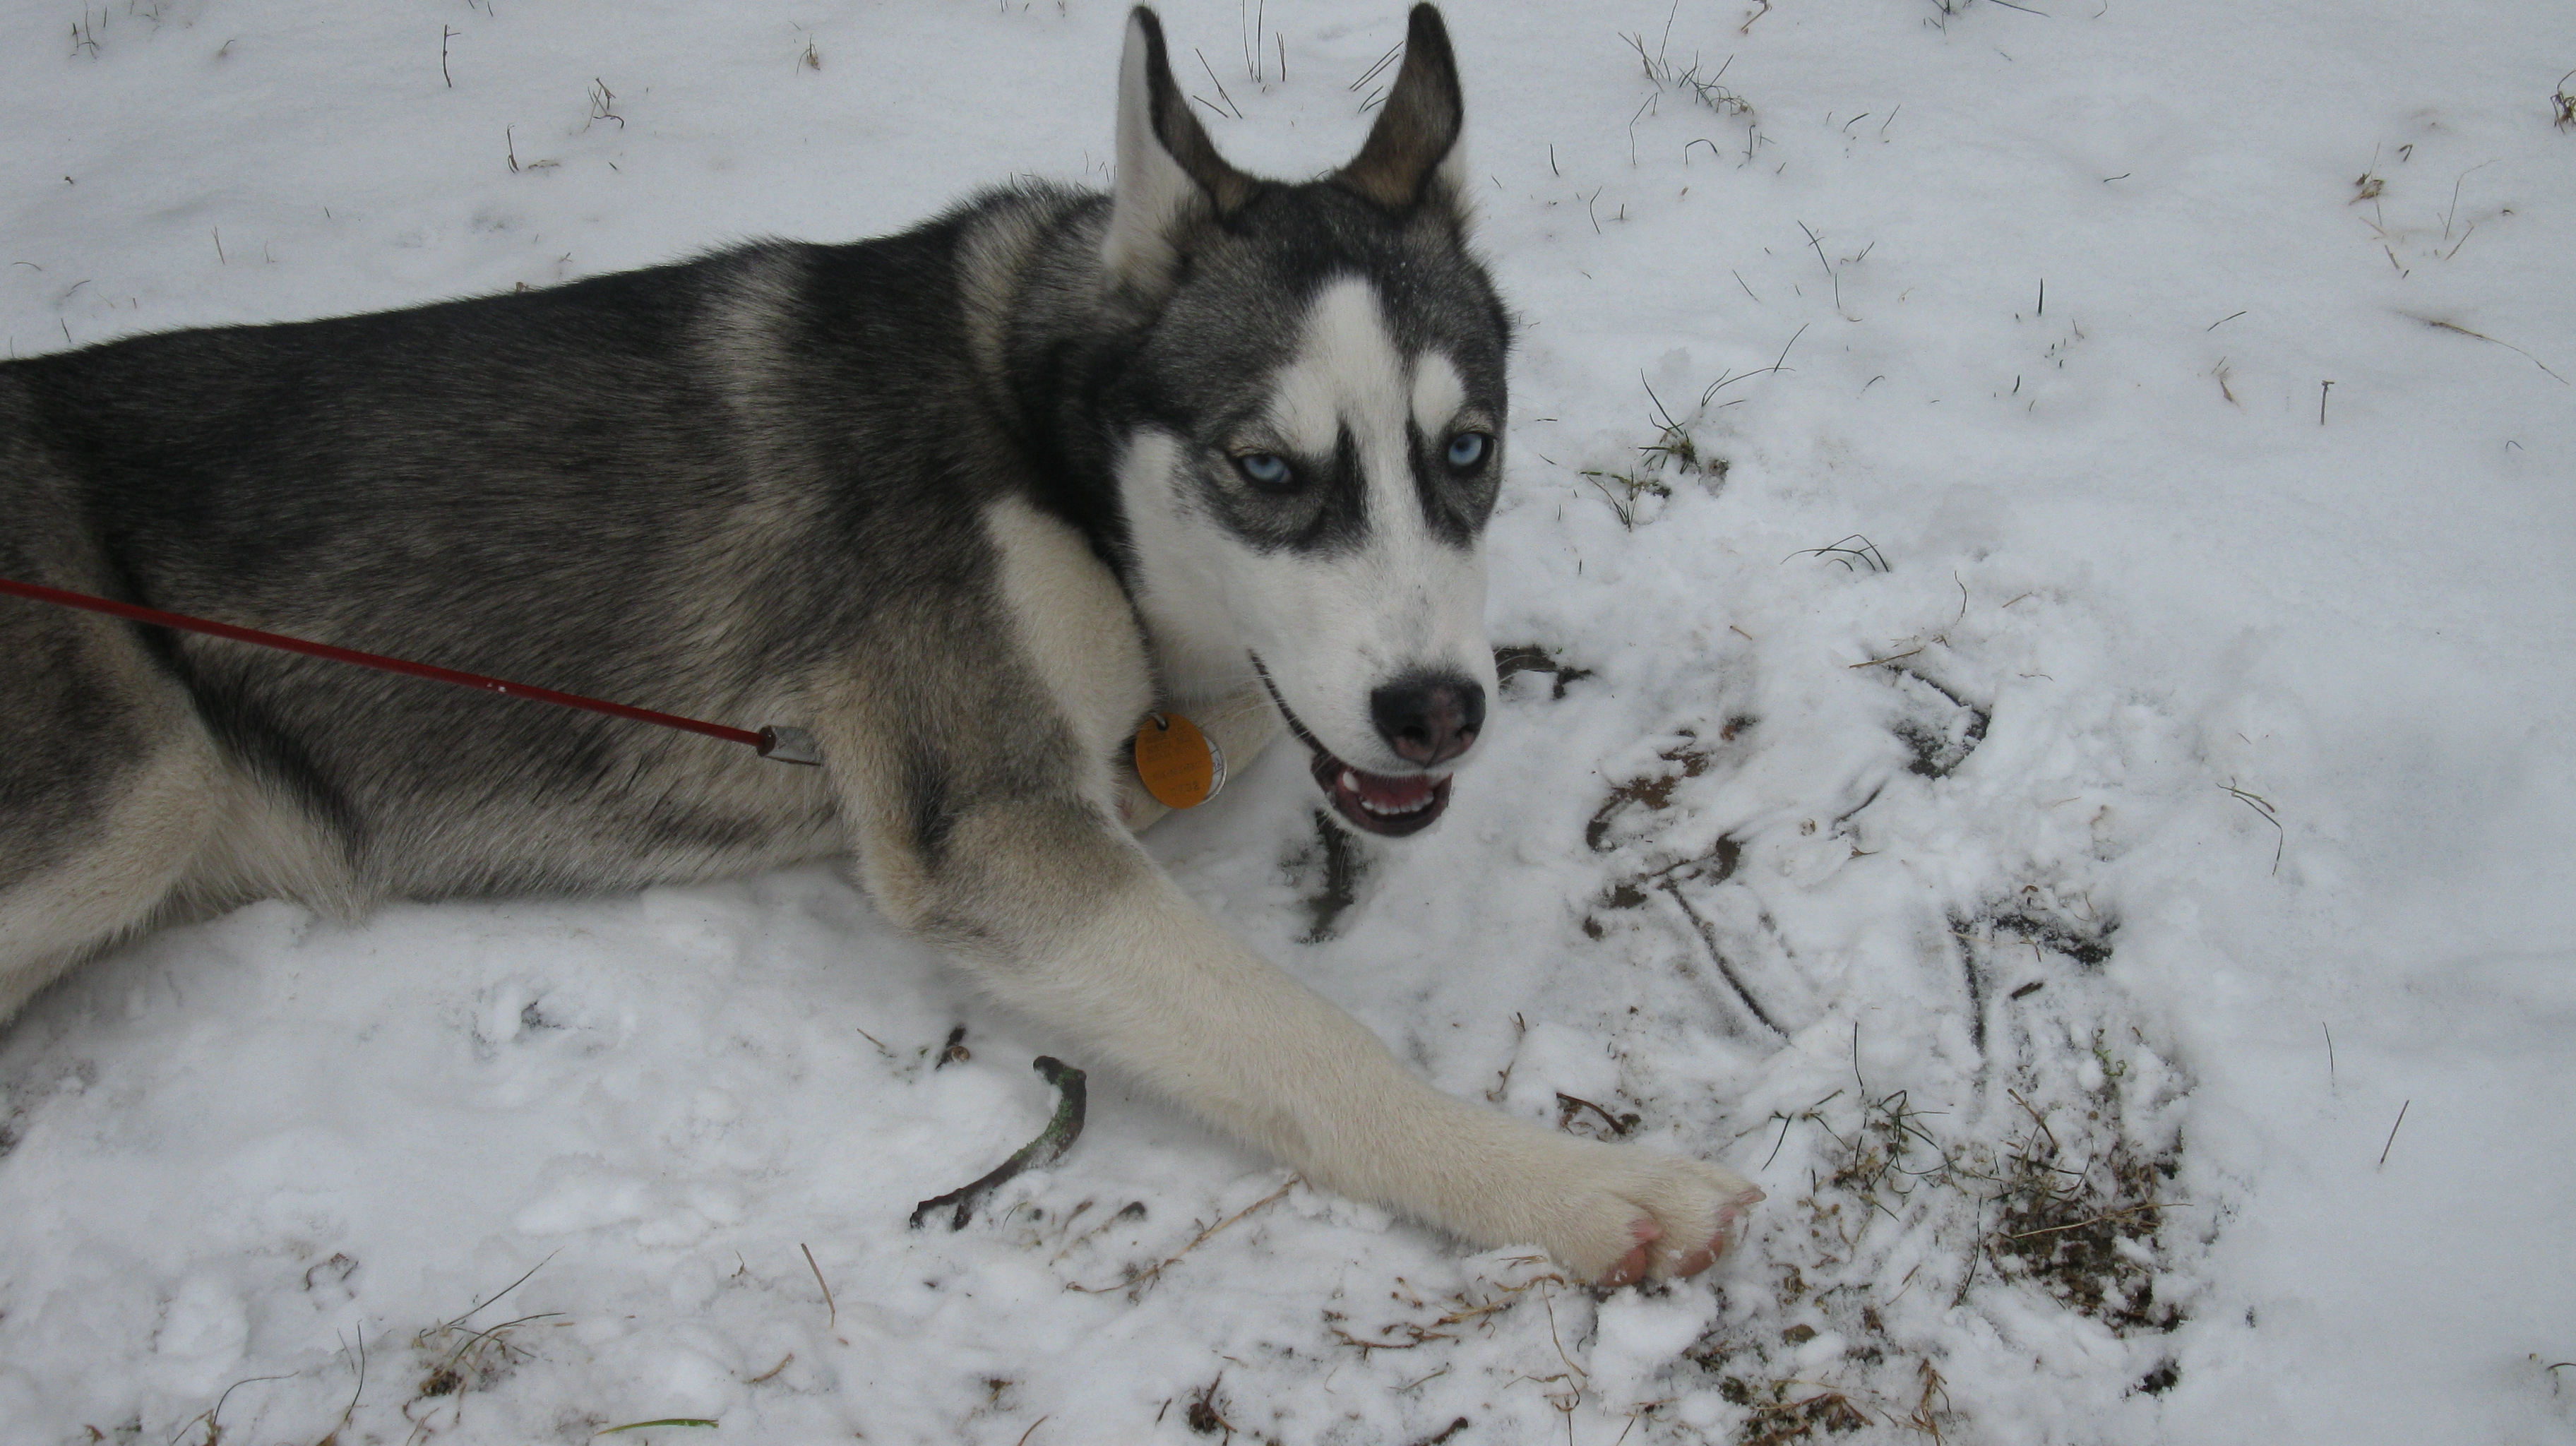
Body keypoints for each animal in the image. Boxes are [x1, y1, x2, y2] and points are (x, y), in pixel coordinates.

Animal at [0, 4, 1759, 1285]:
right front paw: (1577, 1186)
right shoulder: (990, 819)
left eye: (1467, 451)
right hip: (139, 786)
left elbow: (1211, 722)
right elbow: (1311, 1045)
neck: (1042, 448)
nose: (1437, 712)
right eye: (1266, 469)